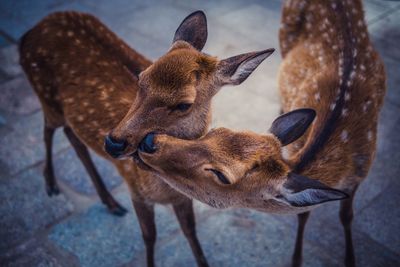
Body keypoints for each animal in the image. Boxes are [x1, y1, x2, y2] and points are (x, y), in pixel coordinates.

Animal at [19, 9, 276, 266]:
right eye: (141, 78)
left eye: (184, 104)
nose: (113, 142)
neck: (164, 188)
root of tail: (28, 34)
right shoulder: (136, 189)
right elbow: (149, 236)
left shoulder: (181, 198)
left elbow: (190, 232)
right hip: (47, 98)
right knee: (48, 129)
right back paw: (51, 185)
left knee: (72, 136)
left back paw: (109, 201)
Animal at [135, 1, 388, 266]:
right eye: (215, 130)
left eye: (222, 175)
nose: (150, 141)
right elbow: (305, 214)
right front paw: (297, 259)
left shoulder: (360, 174)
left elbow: (346, 215)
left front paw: (349, 257)